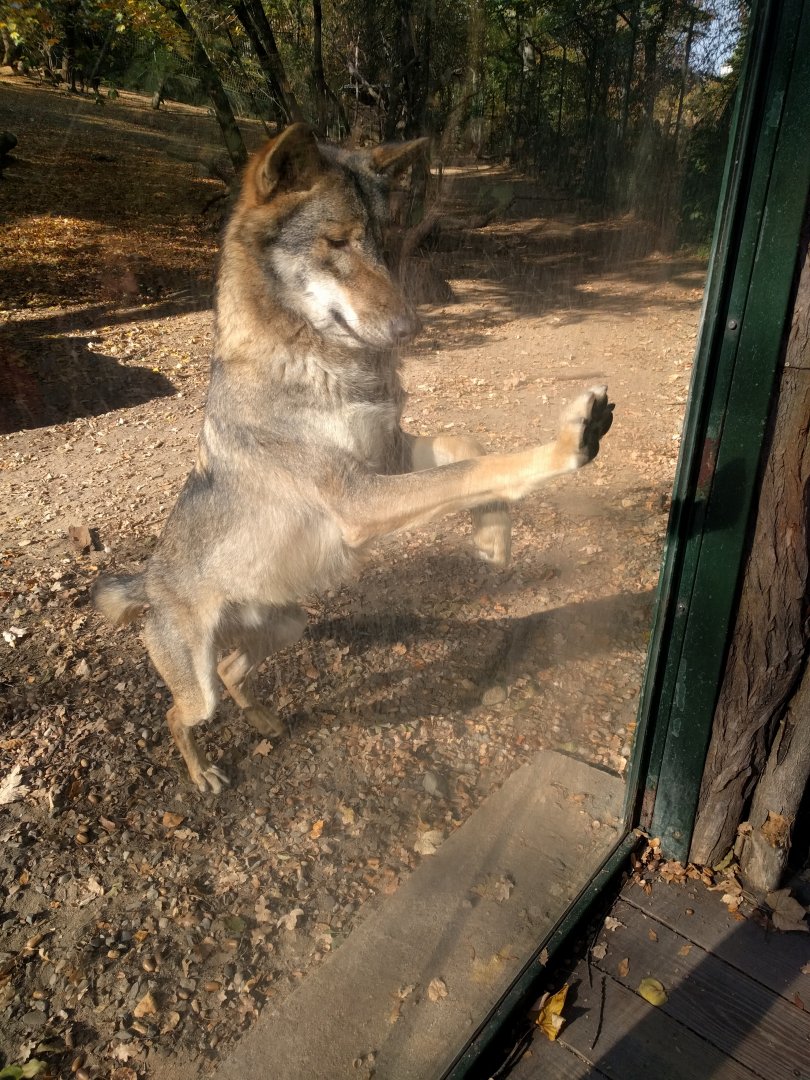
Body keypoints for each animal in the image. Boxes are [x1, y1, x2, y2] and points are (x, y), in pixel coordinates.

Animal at [93, 124, 614, 794]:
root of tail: (147, 580)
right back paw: (203, 772)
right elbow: (482, 466)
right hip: (200, 683)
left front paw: (493, 537)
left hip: (288, 624)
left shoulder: (388, 450)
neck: (324, 362)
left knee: (234, 672)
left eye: (384, 241)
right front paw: (572, 443)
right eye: (337, 242)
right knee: (177, 715)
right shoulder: (360, 496)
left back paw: (263, 720)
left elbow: (464, 449)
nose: (411, 328)